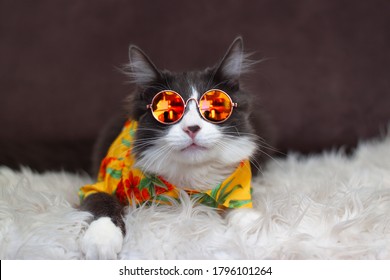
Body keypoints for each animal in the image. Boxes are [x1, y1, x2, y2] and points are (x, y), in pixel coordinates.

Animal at [80, 37, 272, 260]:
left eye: (214, 108)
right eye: (168, 111)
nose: (192, 128)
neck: (190, 185)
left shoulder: (234, 185)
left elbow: (239, 203)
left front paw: (254, 229)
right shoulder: (98, 185)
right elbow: (100, 200)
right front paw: (101, 240)